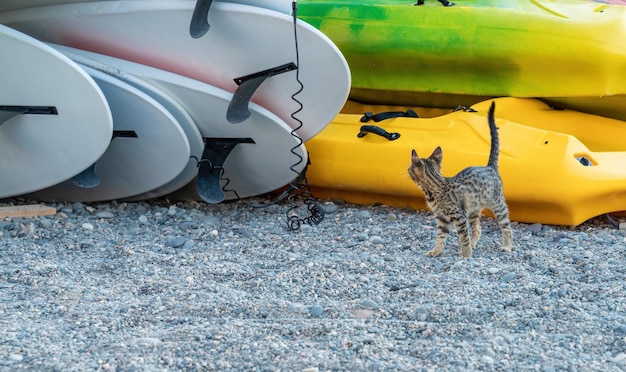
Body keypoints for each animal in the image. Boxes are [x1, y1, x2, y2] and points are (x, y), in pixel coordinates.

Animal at [404, 101, 512, 258]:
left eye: (409, 168)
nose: (406, 170)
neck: (435, 188)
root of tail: (489, 167)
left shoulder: (459, 217)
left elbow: (464, 237)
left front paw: (466, 255)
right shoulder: (441, 219)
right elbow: (440, 237)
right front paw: (436, 251)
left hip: (498, 205)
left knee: (506, 226)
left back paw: (507, 246)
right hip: (474, 209)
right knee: (478, 229)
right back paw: (474, 244)